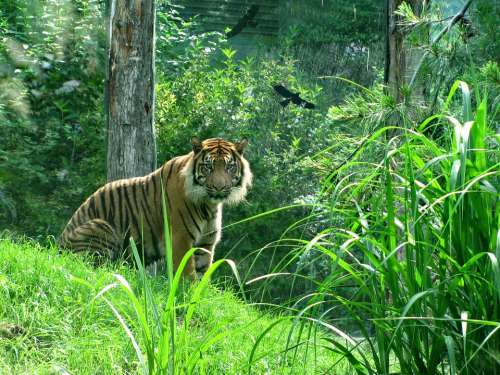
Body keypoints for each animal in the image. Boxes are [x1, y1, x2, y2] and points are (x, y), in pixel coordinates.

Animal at [59, 138, 252, 280]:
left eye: (229, 167)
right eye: (208, 167)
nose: (219, 187)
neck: (209, 204)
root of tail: (57, 245)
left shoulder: (205, 243)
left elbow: (202, 274)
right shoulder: (181, 238)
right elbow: (188, 274)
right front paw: (186, 294)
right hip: (101, 226)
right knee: (95, 266)